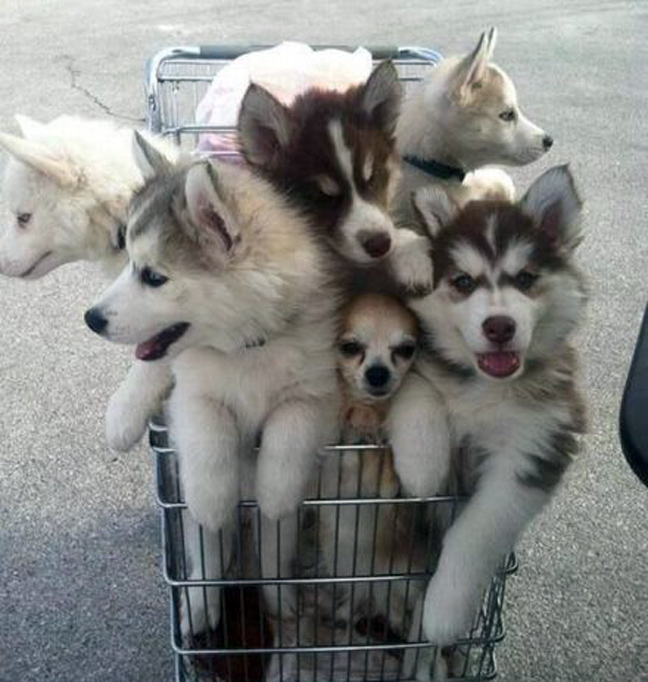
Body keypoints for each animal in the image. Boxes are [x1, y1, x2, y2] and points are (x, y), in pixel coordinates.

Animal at [392, 166, 587, 657]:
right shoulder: (419, 362)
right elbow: (419, 391)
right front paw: (422, 465)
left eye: (526, 278)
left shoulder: (535, 447)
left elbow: (476, 530)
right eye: (463, 282)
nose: (499, 326)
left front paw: (443, 611)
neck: (487, 388)